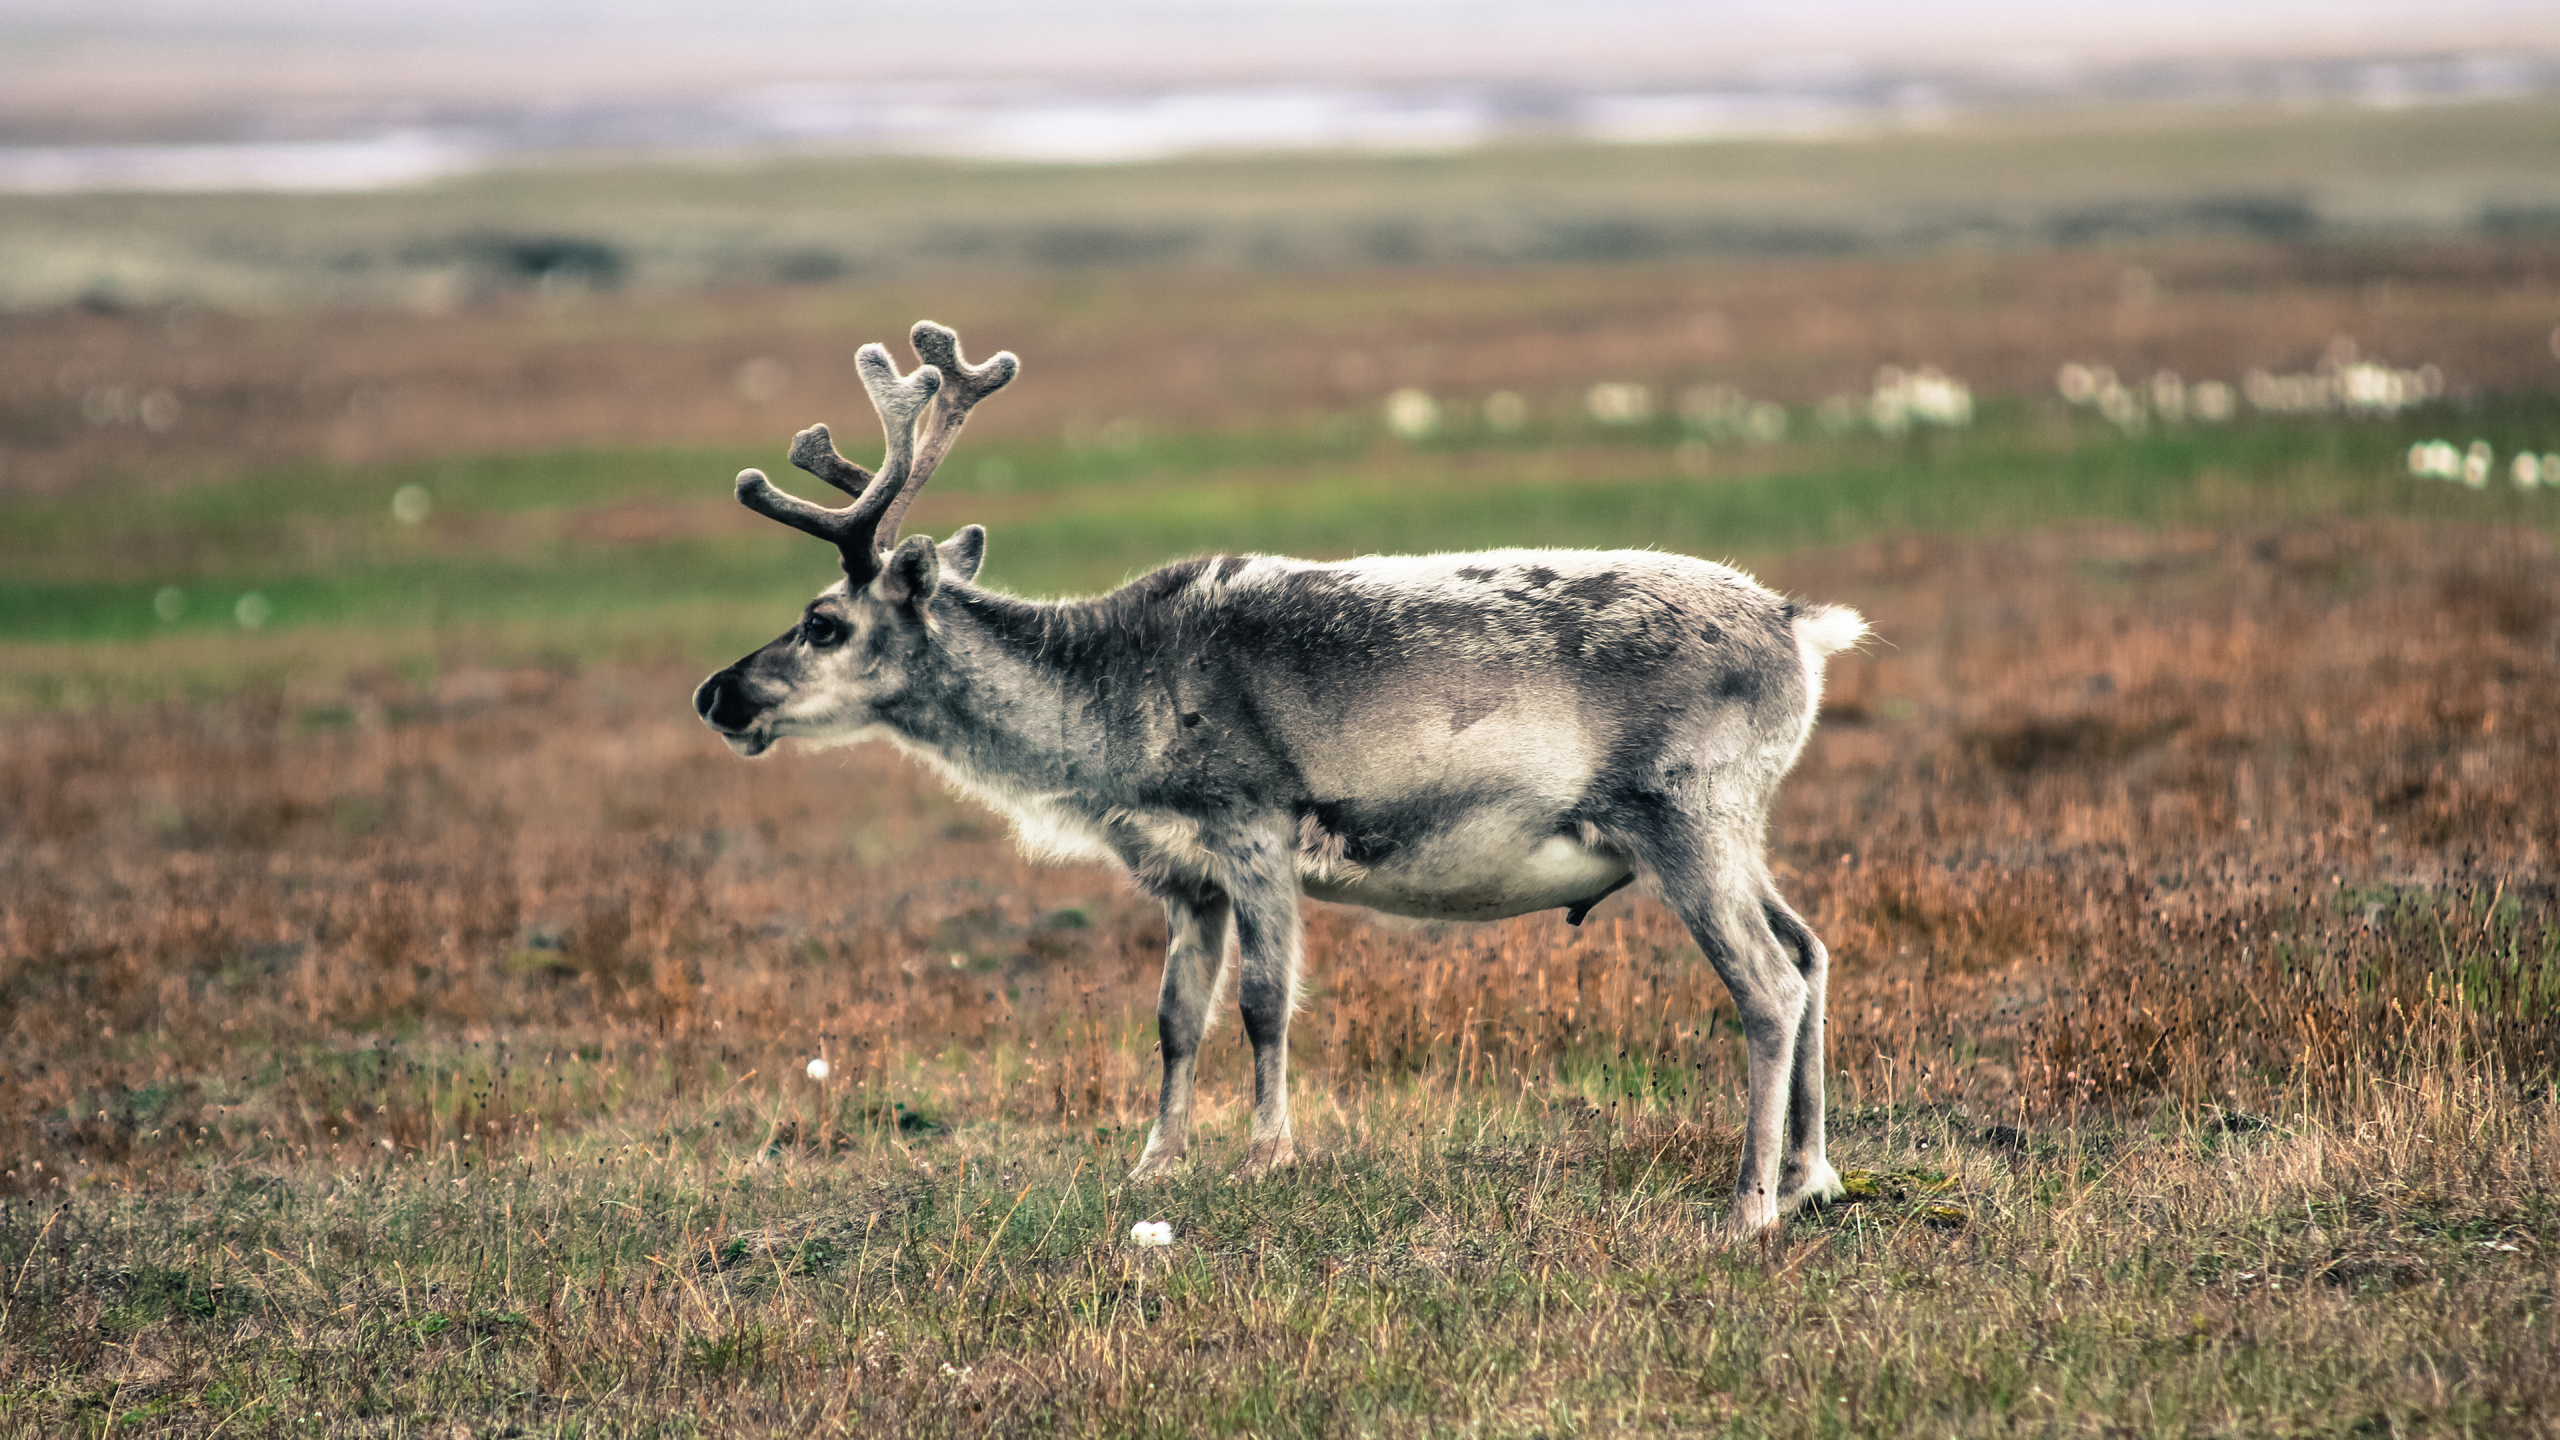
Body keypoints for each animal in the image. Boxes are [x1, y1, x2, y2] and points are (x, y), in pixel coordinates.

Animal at [693, 321, 1867, 1234]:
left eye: (822, 622)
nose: (717, 694)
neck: (1106, 710)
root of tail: (1802, 628)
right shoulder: (1184, 876)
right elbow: (1176, 1019)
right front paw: (1153, 1164)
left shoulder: (1252, 826)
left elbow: (1263, 1003)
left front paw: (1268, 1154)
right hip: (1731, 827)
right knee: (1810, 950)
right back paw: (1813, 1175)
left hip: (1684, 815)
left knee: (1765, 983)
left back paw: (1749, 1205)